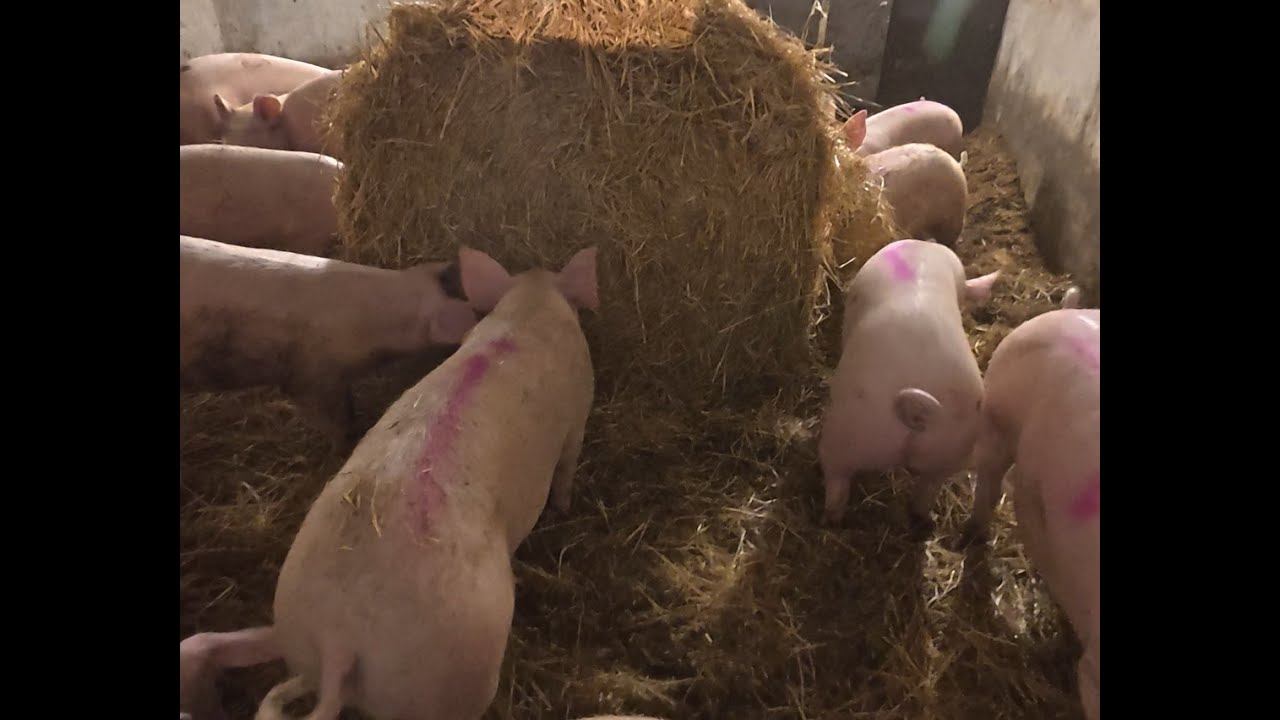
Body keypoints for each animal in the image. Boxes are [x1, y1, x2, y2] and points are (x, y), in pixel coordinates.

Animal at [818, 239, 999, 533]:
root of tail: (926, 411)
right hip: (947, 453)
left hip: (849, 431)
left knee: (836, 484)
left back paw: (829, 521)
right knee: (925, 492)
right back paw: (924, 522)